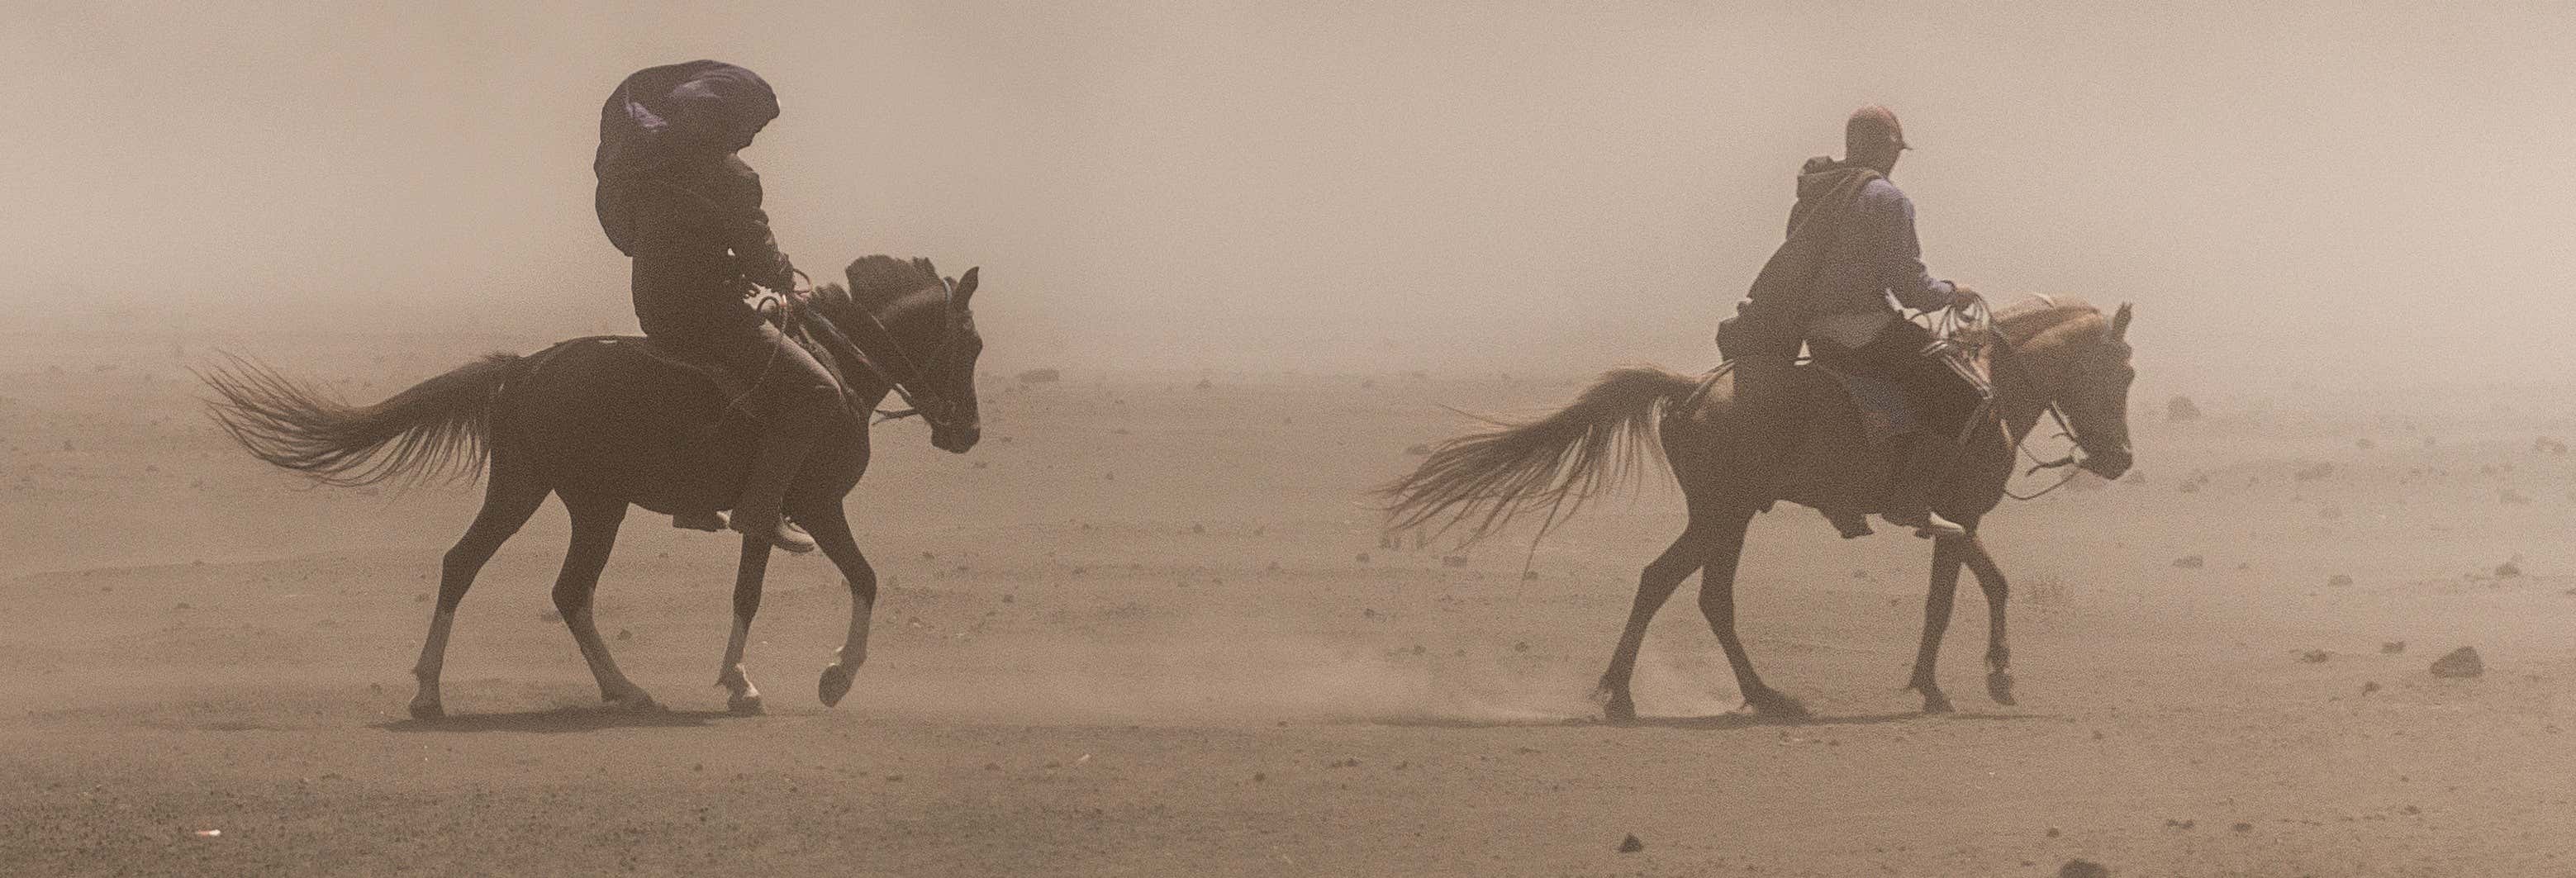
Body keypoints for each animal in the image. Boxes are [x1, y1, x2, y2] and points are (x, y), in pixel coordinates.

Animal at [201, 255, 986, 718]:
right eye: (973, 343)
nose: (969, 431)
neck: (838, 366)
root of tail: (522, 368)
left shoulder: (769, 512)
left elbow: (750, 590)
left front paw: (742, 680)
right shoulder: (817, 504)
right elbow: (863, 577)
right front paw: (832, 676)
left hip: (542, 492)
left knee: (492, 570)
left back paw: (475, 688)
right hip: (586, 503)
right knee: (540, 581)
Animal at [1380, 298, 2137, 721]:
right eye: (2126, 371)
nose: (2121, 459)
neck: (1993, 389)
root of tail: (1690, 387)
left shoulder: (1953, 520)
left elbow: (1973, 589)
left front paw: (1964, 679)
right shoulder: (1957, 515)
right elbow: (1963, 595)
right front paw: (1969, 681)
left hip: (1725, 517)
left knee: (1686, 588)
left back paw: (1680, 692)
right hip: (1725, 513)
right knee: (1685, 587)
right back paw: (1705, 695)